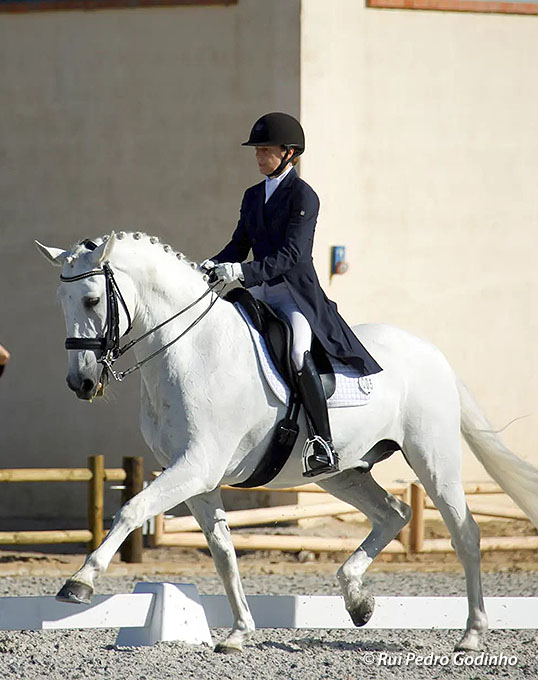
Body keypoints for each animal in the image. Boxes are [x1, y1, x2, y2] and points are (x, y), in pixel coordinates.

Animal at [35, 234, 536, 652]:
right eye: (60, 301)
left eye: (92, 299)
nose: (80, 383)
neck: (192, 350)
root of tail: (432, 353)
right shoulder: (196, 478)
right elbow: (223, 552)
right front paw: (238, 633)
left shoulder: (196, 466)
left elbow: (131, 509)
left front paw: (80, 581)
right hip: (342, 472)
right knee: (394, 513)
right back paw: (358, 601)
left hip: (433, 460)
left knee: (465, 534)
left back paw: (471, 635)